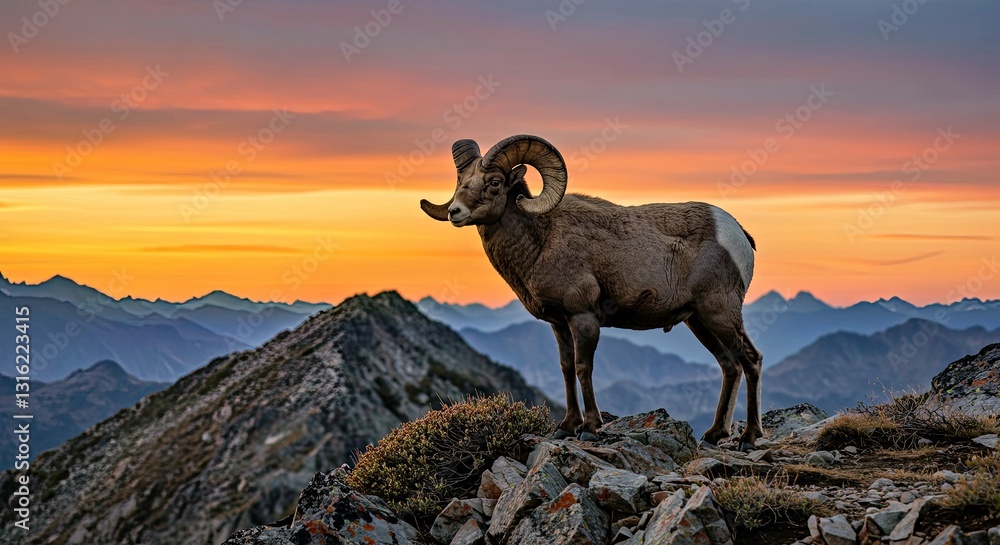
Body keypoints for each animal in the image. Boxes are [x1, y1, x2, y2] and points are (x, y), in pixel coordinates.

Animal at [420, 135, 763, 449]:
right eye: (462, 180)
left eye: (493, 182)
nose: (455, 212)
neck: (541, 240)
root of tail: (737, 234)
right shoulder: (559, 324)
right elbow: (566, 368)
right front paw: (566, 427)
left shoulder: (583, 318)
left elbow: (584, 369)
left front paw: (589, 429)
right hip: (698, 321)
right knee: (729, 365)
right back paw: (715, 434)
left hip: (719, 312)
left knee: (751, 360)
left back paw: (748, 438)